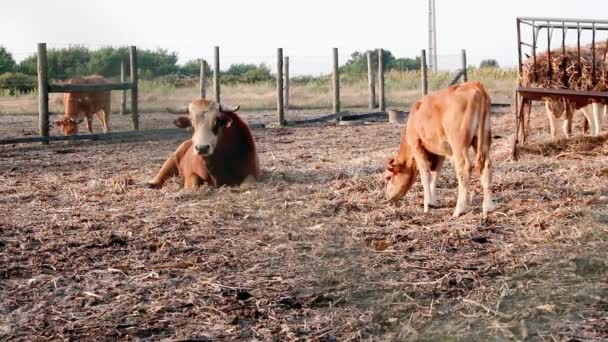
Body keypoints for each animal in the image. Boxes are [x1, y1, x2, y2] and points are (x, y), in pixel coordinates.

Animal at [384, 81, 494, 218]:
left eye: (388, 178)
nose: (386, 197)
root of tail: (473, 85)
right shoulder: (440, 153)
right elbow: (435, 175)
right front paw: (432, 202)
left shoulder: (417, 147)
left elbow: (425, 176)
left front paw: (426, 206)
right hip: (483, 140)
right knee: (486, 166)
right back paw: (488, 207)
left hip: (459, 145)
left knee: (464, 170)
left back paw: (459, 210)